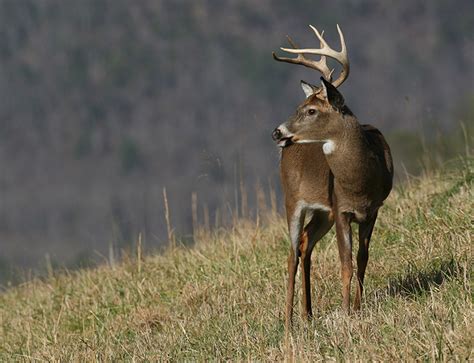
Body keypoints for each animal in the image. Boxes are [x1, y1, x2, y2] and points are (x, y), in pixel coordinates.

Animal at [270, 24, 392, 334]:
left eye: (311, 110)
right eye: (299, 105)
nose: (277, 132)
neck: (360, 183)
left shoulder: (372, 210)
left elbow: (362, 259)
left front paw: (358, 309)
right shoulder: (341, 209)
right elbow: (345, 263)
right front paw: (347, 312)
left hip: (322, 212)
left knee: (305, 244)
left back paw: (307, 314)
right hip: (292, 199)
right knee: (291, 254)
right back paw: (288, 324)